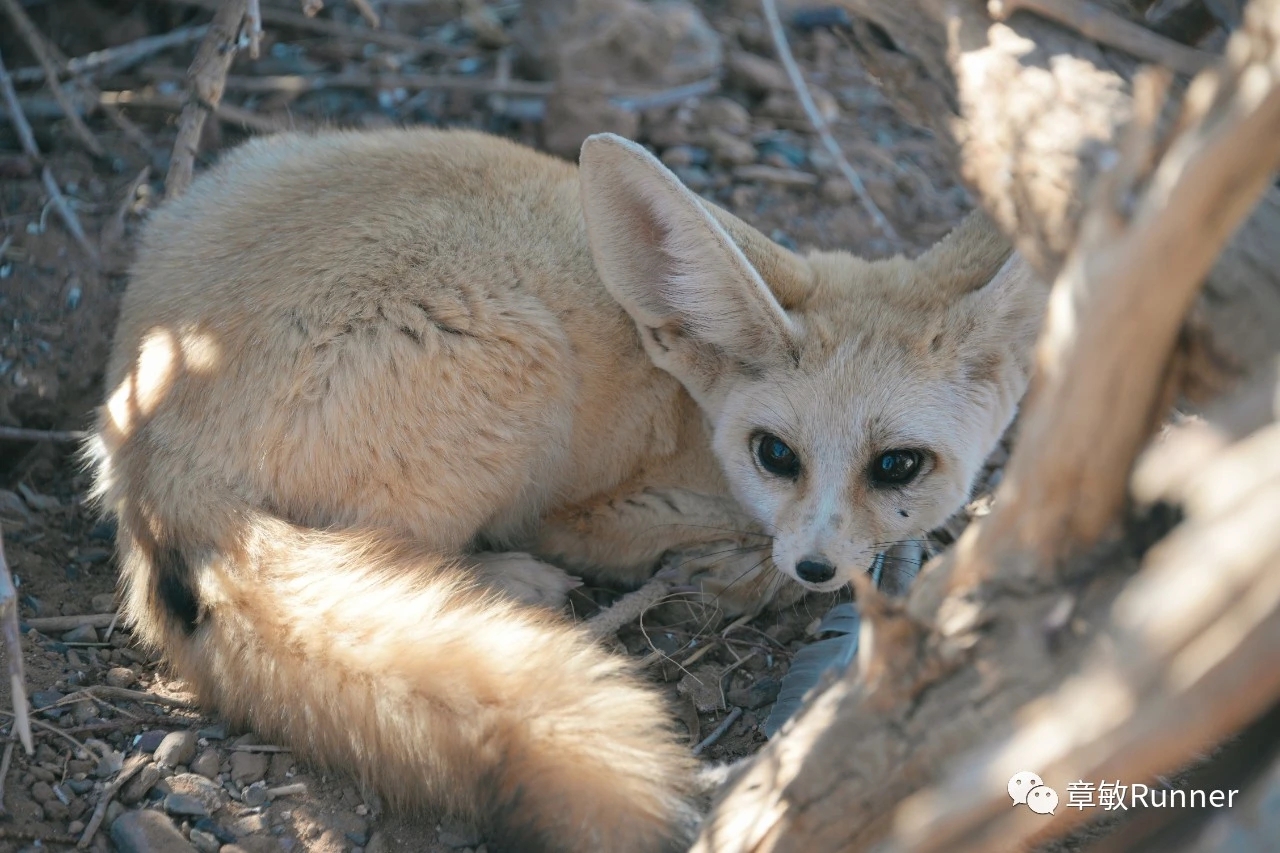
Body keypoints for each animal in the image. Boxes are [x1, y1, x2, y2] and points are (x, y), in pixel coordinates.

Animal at [90, 128, 1044, 850]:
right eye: (776, 453)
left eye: (898, 465)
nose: (815, 567)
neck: (686, 396)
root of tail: (154, 446)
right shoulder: (598, 512)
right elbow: (720, 546)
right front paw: (749, 572)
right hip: (521, 357)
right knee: (393, 556)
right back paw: (513, 584)